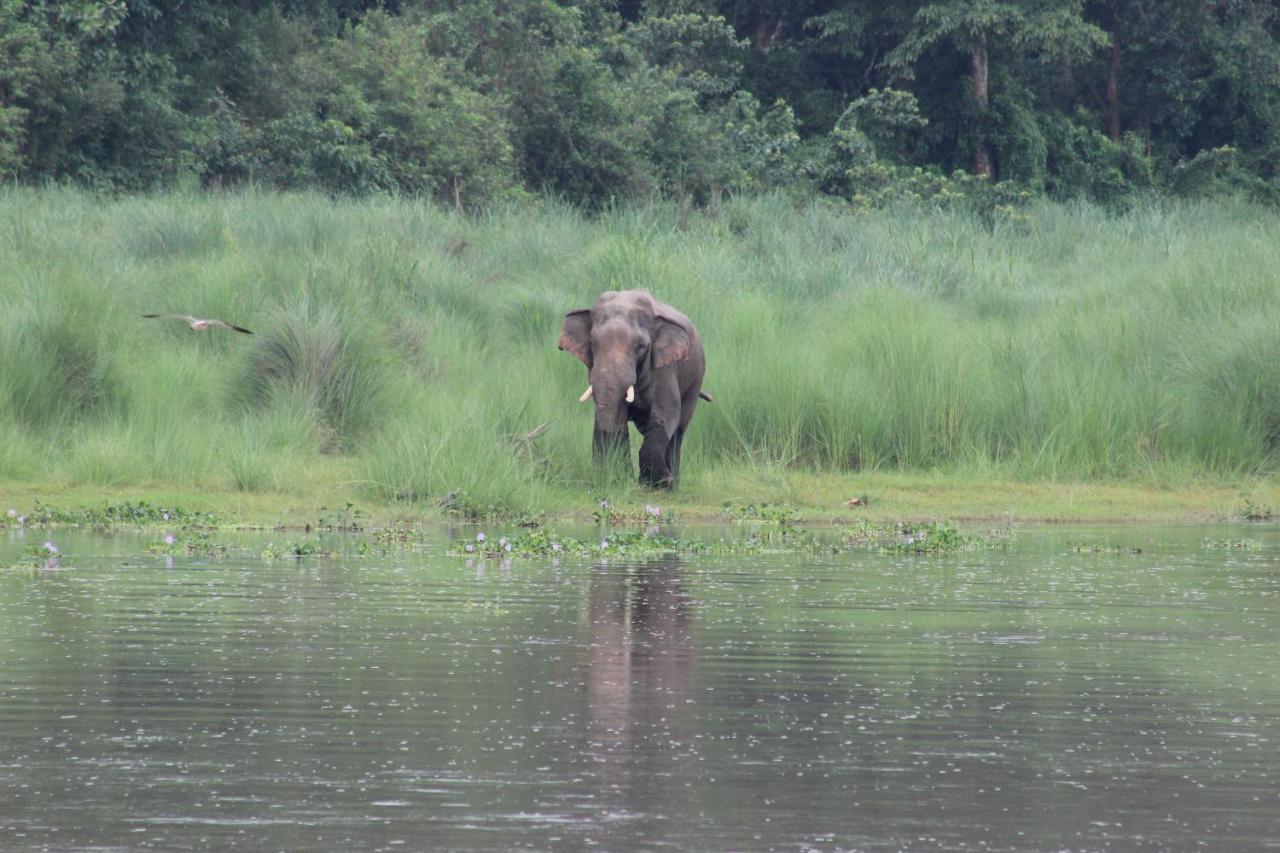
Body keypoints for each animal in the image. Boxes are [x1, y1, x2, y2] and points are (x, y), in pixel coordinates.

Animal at [555, 289, 706, 484]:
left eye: (640, 346)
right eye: (593, 343)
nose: (667, 479)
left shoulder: (664, 368)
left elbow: (667, 412)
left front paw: (658, 482)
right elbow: (618, 420)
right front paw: (621, 481)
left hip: (696, 380)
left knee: (678, 431)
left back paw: (672, 484)